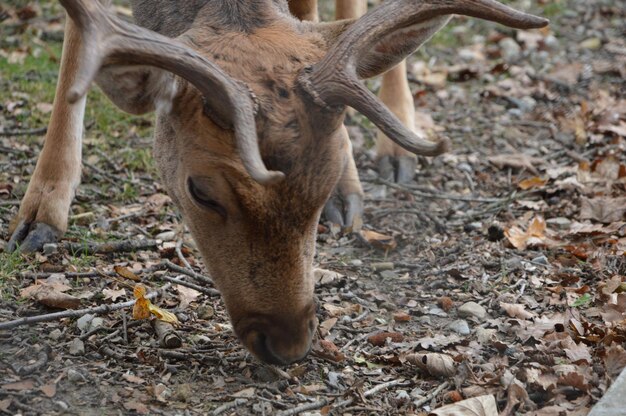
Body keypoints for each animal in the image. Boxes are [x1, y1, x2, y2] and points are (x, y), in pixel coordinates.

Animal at [6, 0, 544, 364]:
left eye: (323, 182)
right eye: (201, 191)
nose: (288, 343)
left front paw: (346, 189)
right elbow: (76, 43)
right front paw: (38, 216)